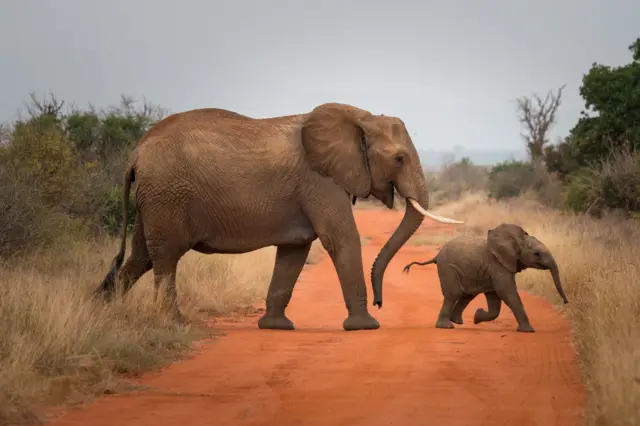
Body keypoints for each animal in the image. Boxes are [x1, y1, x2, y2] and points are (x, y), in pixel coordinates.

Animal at [93, 102, 464, 331]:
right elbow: (341, 238)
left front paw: (276, 327)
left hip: (154, 199)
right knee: (166, 258)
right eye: (400, 159)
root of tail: (136, 153)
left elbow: (295, 250)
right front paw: (365, 327)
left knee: (141, 257)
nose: (381, 301)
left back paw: (104, 312)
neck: (360, 117)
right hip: (166, 196)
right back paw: (174, 322)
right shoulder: (320, 180)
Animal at [402, 223, 569, 333]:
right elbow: (507, 293)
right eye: (536, 254)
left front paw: (477, 316)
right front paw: (529, 331)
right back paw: (446, 326)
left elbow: (495, 300)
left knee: (466, 295)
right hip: (448, 268)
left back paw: (457, 321)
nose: (566, 302)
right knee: (454, 294)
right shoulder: (498, 265)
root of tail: (437, 255)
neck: (514, 240)